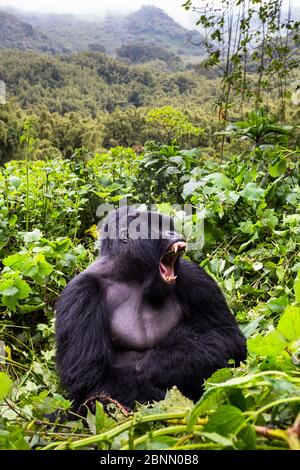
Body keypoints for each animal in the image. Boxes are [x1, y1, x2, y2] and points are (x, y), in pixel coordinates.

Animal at [55, 207, 246, 412]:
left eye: (169, 225)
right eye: (156, 226)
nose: (174, 233)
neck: (130, 274)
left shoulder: (193, 275)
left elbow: (225, 336)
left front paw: (154, 364)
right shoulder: (80, 294)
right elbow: (91, 376)